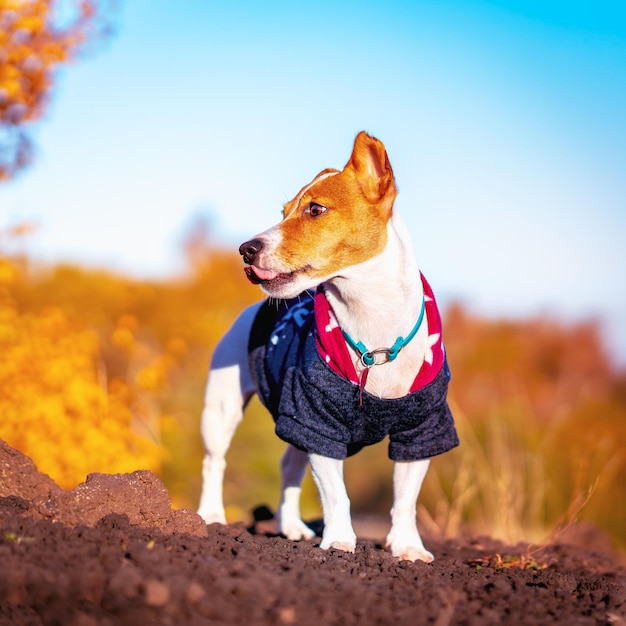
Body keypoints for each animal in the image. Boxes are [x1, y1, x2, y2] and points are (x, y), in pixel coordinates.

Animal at [199, 132, 458, 560]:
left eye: (316, 209)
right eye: (284, 211)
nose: (245, 248)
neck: (373, 326)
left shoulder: (421, 428)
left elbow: (405, 498)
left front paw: (407, 547)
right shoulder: (316, 419)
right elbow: (337, 494)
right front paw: (339, 542)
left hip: (291, 419)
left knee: (288, 466)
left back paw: (291, 527)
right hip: (224, 409)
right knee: (214, 462)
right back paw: (210, 517)